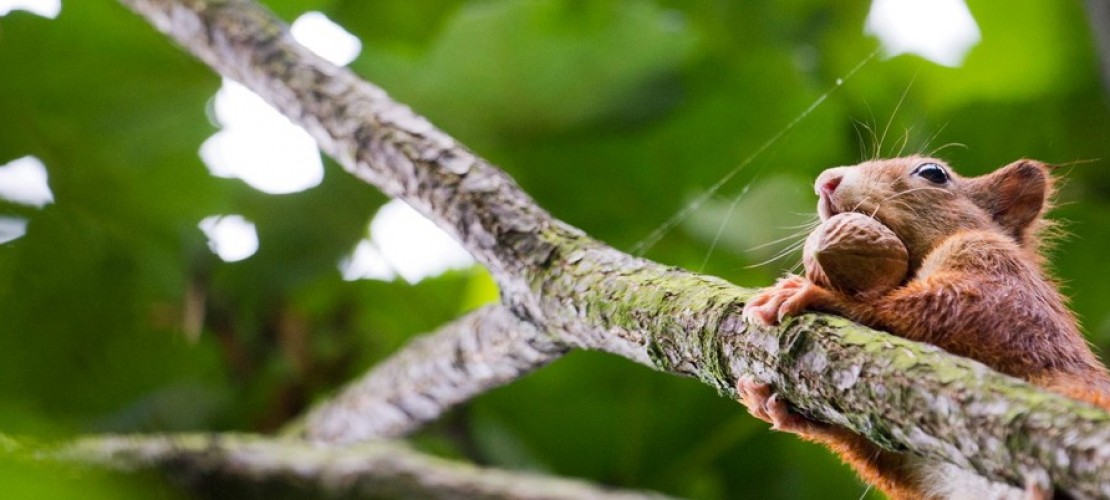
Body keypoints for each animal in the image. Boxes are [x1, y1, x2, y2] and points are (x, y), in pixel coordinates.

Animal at [737, 156, 1110, 499]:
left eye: (933, 173)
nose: (826, 181)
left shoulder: (1007, 280)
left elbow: (977, 311)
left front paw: (825, 296)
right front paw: (777, 406)